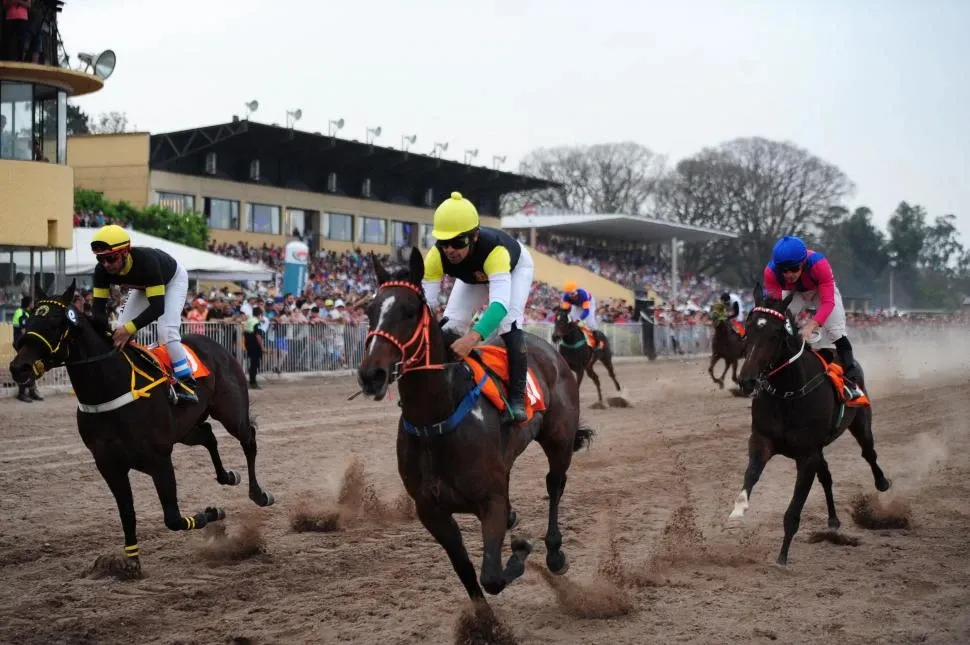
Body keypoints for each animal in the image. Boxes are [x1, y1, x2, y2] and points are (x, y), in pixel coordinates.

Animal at [7, 282, 274, 580]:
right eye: (29, 319)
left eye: (56, 322)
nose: (19, 367)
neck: (110, 386)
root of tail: (216, 345)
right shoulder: (108, 464)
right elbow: (127, 513)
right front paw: (130, 563)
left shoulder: (159, 458)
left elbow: (173, 518)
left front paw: (212, 513)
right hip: (185, 430)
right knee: (208, 434)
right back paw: (227, 475)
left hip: (230, 412)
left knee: (248, 439)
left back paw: (259, 493)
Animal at [356, 250, 588, 600]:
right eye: (369, 310)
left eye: (409, 312)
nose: (371, 375)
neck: (434, 422)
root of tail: (550, 350)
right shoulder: (431, 511)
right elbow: (467, 572)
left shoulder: (490, 500)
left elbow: (491, 576)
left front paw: (520, 552)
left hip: (559, 439)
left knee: (555, 484)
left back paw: (555, 552)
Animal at [728, 286, 888, 564]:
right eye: (747, 330)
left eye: (775, 334)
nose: (747, 381)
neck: (788, 392)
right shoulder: (762, 440)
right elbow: (751, 475)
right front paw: (738, 510)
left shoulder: (807, 455)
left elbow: (793, 510)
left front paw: (782, 557)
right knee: (827, 475)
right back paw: (833, 519)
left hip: (861, 422)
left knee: (868, 453)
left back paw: (882, 482)